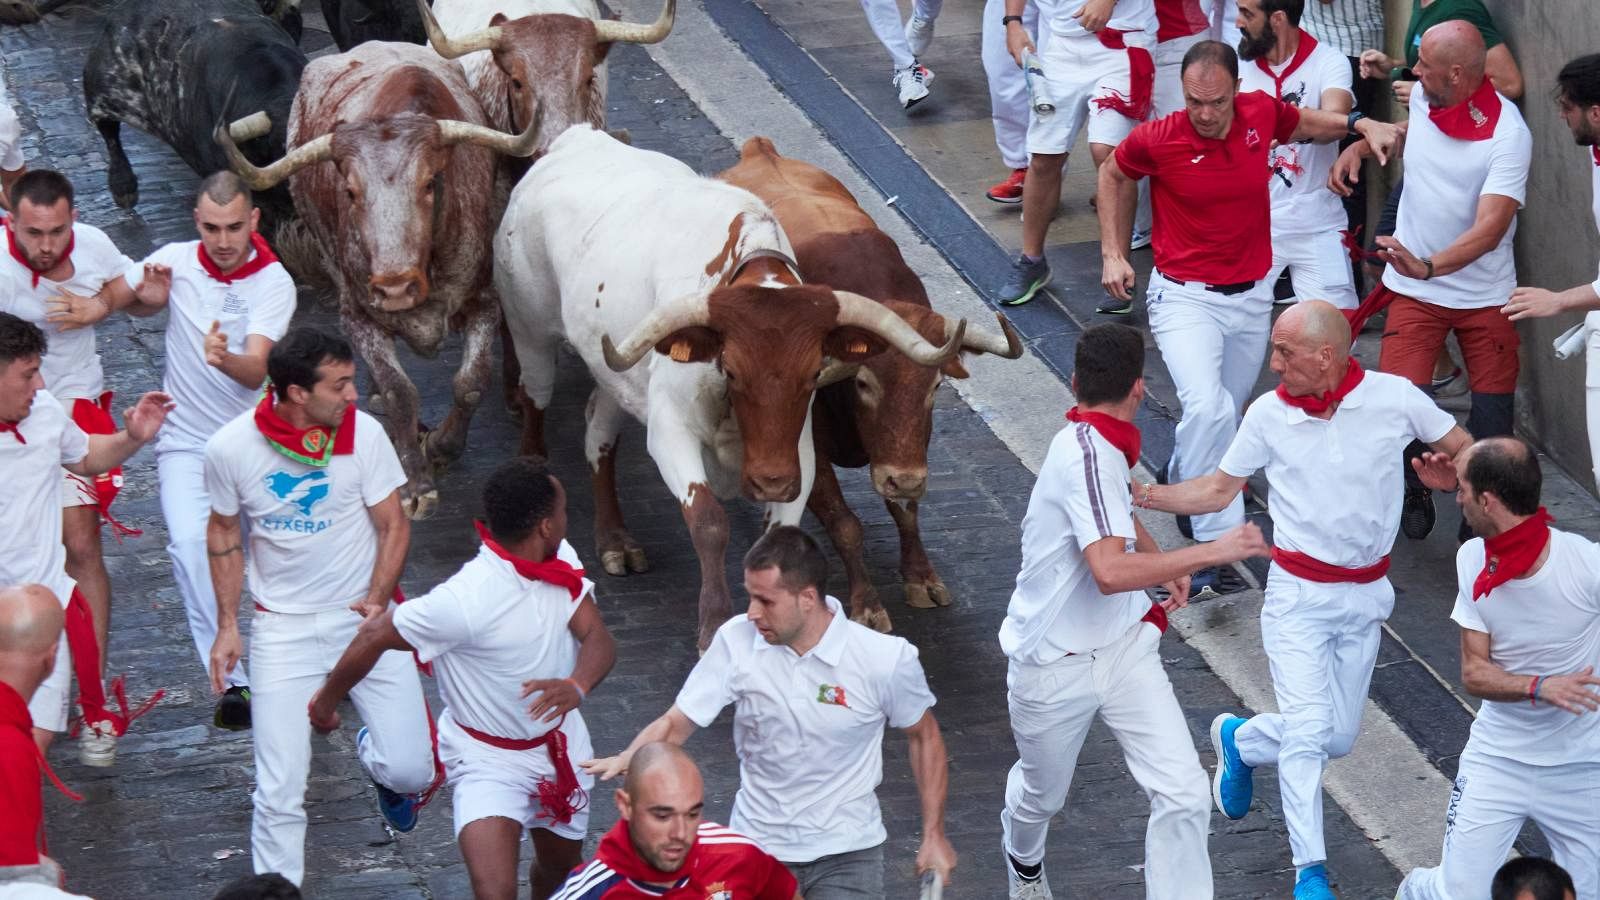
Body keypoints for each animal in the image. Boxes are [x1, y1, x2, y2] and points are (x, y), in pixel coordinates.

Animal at [216, 40, 540, 518]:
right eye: (350, 191)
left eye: (430, 182)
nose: (394, 287)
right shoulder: (358, 315)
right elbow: (399, 392)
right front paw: (414, 484)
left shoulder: (484, 300)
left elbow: (470, 384)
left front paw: (442, 446)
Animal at [492, 124, 966, 643]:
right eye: (732, 370)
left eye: (814, 374)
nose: (770, 480)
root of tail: (577, 138)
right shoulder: (671, 432)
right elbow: (709, 522)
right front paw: (714, 623)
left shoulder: (800, 452)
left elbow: (776, 536)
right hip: (529, 328)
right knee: (535, 395)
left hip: (617, 373)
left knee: (599, 430)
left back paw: (615, 538)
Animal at [716, 138, 1017, 630]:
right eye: (863, 384)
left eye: (935, 387)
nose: (904, 479)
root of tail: (760, 151)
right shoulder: (809, 451)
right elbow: (845, 523)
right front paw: (867, 603)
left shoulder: (910, 450)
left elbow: (906, 511)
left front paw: (920, 577)